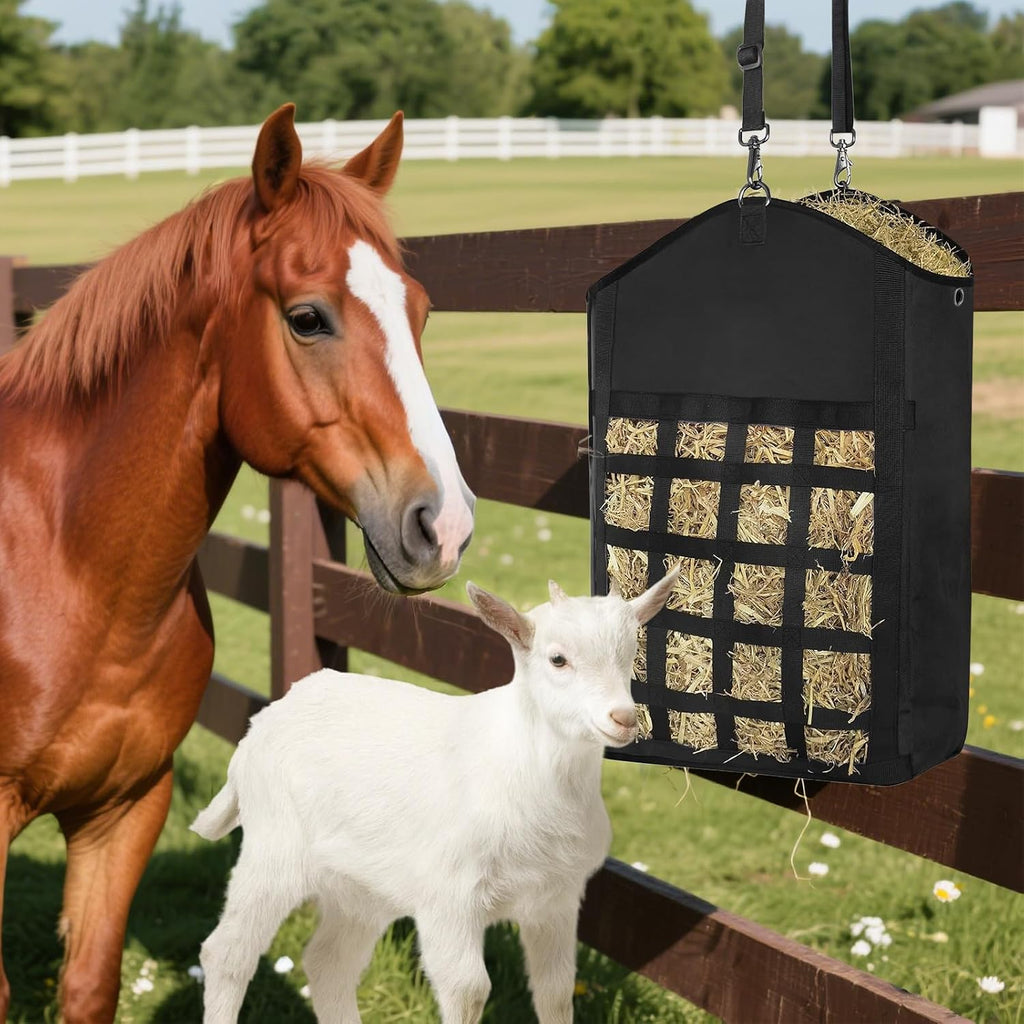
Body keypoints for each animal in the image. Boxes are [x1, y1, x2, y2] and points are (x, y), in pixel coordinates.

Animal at [0, 104, 474, 1022]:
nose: (444, 526)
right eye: (307, 318)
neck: (65, 564)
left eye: (423, 312)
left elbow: (90, 982)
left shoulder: (125, 810)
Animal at [191, 569, 677, 1024]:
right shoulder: (450, 896)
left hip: (362, 886)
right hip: (274, 847)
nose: (623, 718)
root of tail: (261, 725)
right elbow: (469, 991)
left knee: (328, 964)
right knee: (226, 953)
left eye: (632, 653)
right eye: (557, 659)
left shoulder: (555, 900)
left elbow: (556, 992)